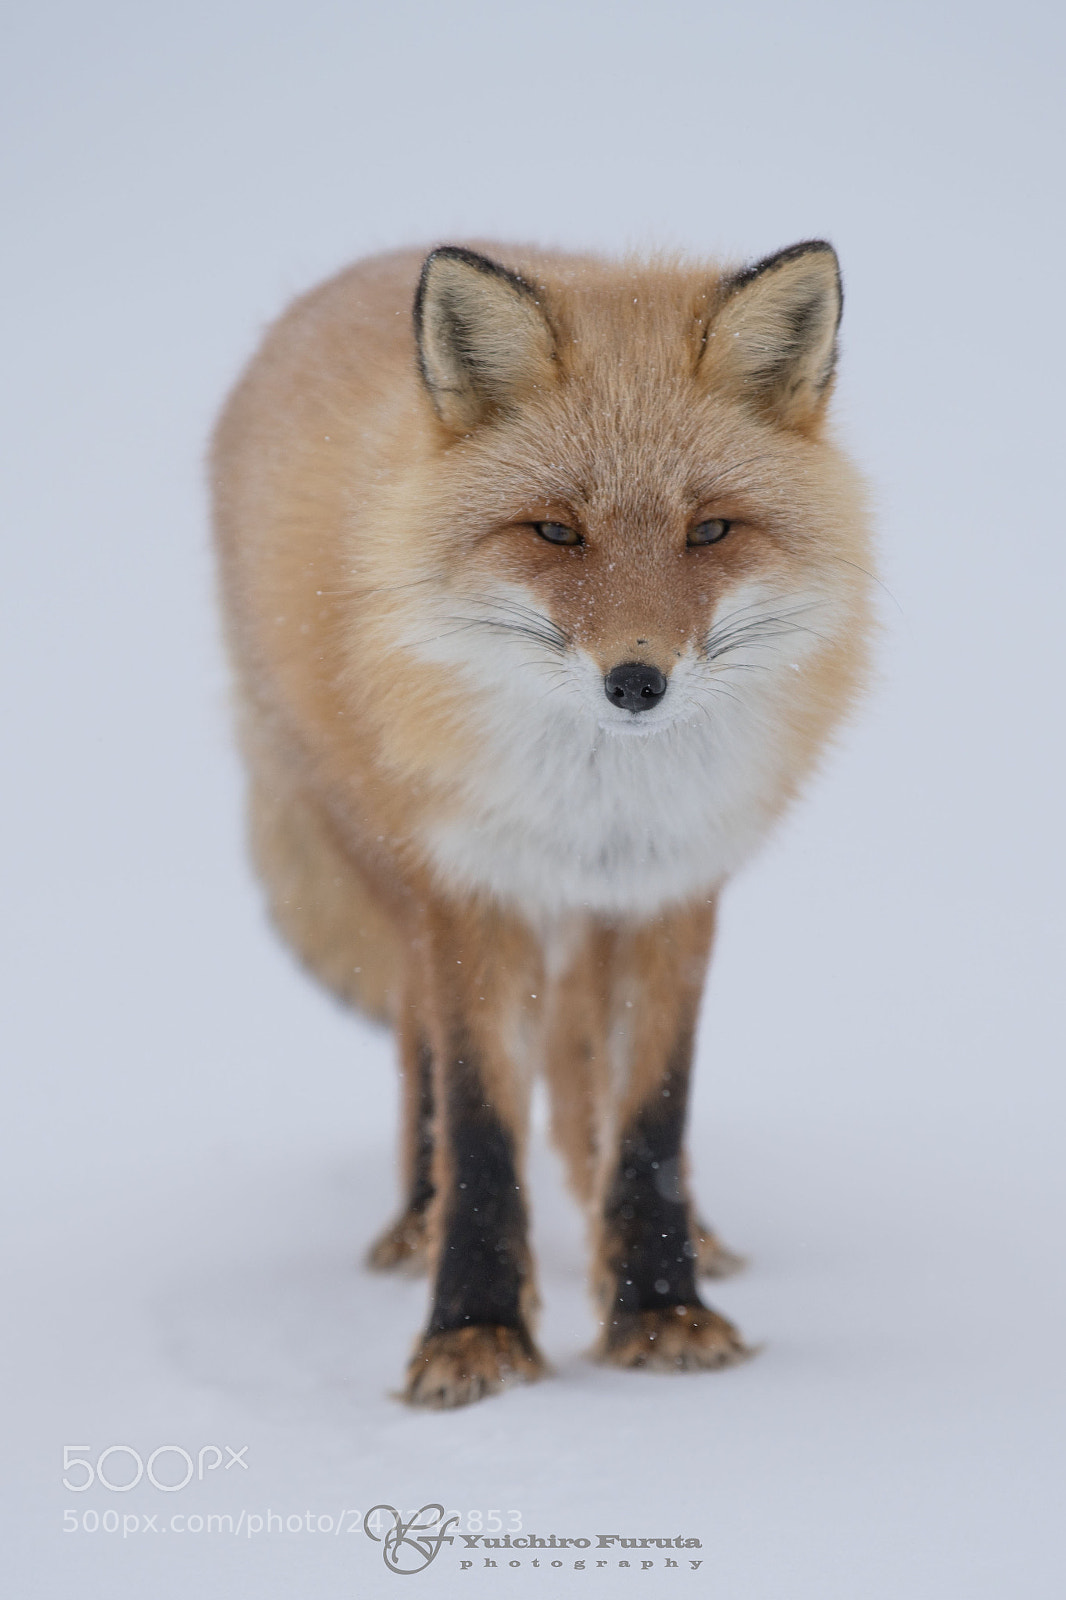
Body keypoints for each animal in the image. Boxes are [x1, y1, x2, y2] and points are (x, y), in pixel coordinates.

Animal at [211, 239, 873, 1408]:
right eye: (557, 531)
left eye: (710, 529)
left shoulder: (670, 892)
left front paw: (661, 1309)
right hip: (389, 872)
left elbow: (651, 1118)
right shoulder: (471, 891)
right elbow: (481, 1122)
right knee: (423, 1051)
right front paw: (473, 1332)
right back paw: (415, 1223)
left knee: (581, 1086)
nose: (637, 682)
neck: (598, 807)